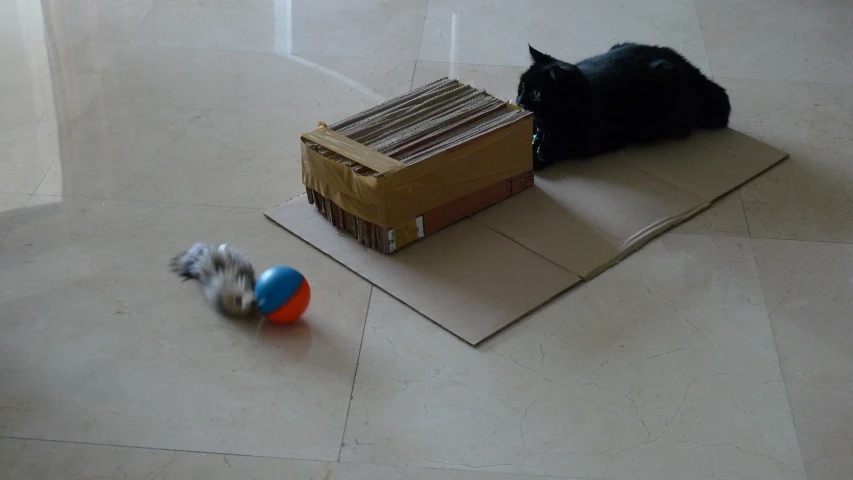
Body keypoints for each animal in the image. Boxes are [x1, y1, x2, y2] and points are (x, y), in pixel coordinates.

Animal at [516, 43, 728, 171]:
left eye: (536, 94)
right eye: (523, 85)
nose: (519, 100)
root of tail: (695, 73)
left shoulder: (582, 144)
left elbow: (549, 152)